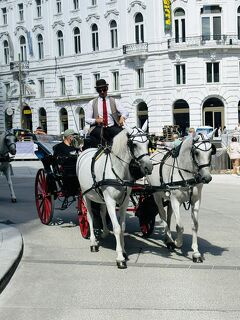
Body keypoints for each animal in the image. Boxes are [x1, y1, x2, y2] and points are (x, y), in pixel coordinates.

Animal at [76, 126, 153, 268]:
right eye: (134, 144)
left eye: (147, 143)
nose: (148, 167)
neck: (117, 170)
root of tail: (85, 151)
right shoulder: (111, 201)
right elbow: (117, 228)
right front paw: (120, 257)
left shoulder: (124, 201)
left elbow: (122, 227)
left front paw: (124, 251)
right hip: (85, 195)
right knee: (89, 216)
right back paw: (93, 242)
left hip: (100, 197)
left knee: (101, 211)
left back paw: (105, 232)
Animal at [148, 132, 216, 262]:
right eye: (196, 153)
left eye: (211, 152)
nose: (206, 178)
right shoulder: (175, 200)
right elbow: (180, 226)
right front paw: (177, 242)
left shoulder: (196, 200)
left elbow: (195, 225)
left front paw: (196, 252)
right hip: (157, 195)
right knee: (163, 215)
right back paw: (169, 240)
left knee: (168, 215)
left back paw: (167, 238)